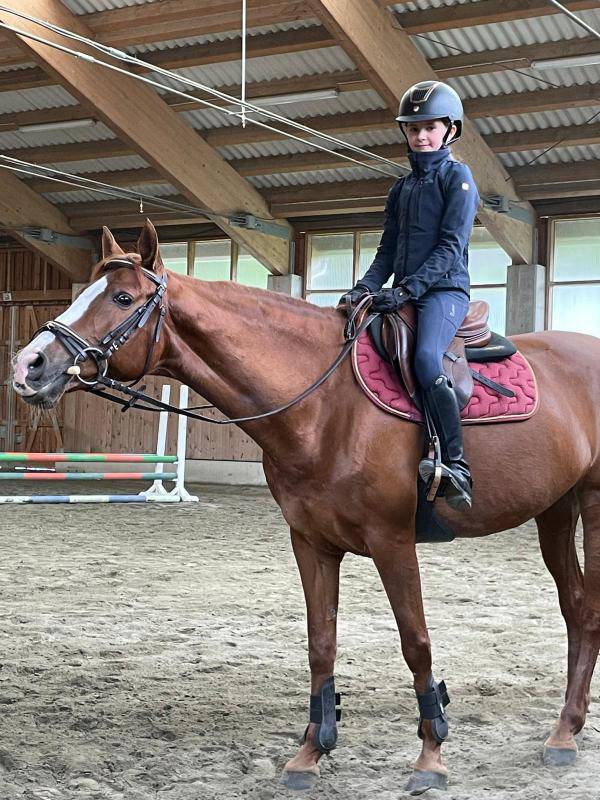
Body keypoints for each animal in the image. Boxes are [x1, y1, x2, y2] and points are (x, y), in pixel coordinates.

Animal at [12, 220, 600, 794]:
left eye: (121, 296)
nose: (28, 365)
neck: (327, 403)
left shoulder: (393, 541)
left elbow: (416, 642)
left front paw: (431, 756)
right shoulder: (312, 543)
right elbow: (321, 643)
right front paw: (311, 753)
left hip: (591, 505)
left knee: (588, 611)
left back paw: (564, 735)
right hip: (554, 511)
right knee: (575, 608)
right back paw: (565, 730)